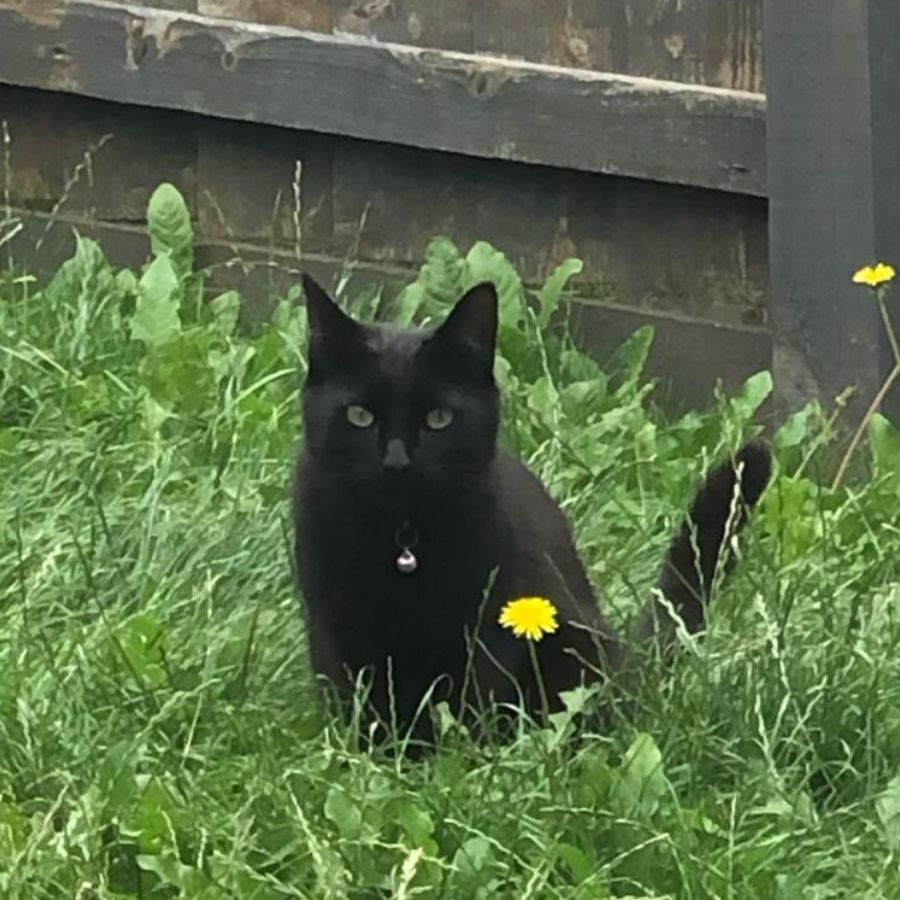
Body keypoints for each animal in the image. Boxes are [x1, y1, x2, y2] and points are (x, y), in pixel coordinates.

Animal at [292, 276, 768, 744]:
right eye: (359, 416)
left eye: (439, 419)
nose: (396, 462)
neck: (400, 541)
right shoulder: (330, 620)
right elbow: (350, 697)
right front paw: (365, 754)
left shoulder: (490, 621)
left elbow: (475, 700)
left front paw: (464, 756)